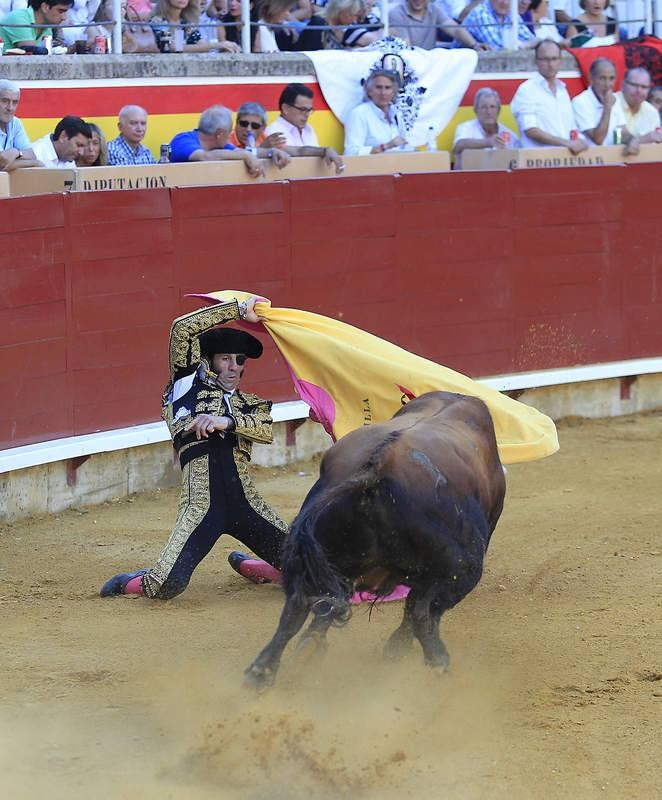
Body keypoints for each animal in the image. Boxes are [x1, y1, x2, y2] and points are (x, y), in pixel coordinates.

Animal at [245, 390, 508, 692]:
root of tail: (376, 469)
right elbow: (417, 610)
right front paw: (399, 648)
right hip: (462, 569)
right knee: (421, 612)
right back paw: (438, 662)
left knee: (298, 606)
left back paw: (267, 669)